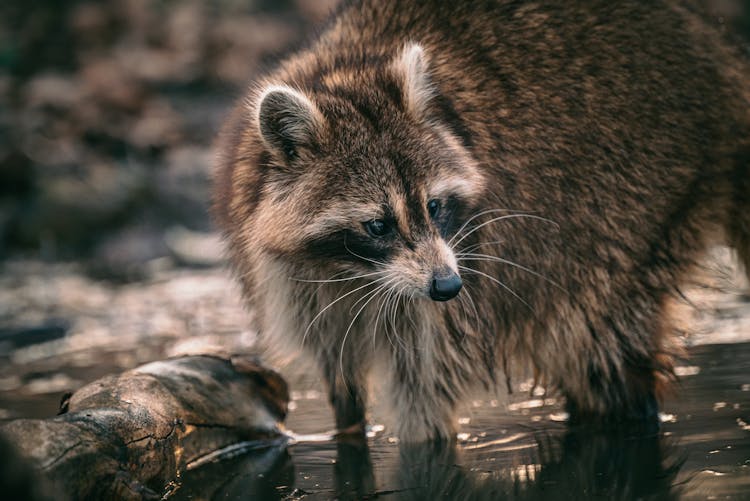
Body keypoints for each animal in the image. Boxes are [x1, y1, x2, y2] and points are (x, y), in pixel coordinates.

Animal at [212, 0, 750, 440]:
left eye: (434, 206)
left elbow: (425, 398)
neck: (354, 273)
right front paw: (347, 434)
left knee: (601, 344)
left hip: (640, 207)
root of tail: (719, 63)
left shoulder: (463, 291)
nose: (448, 286)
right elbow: (341, 383)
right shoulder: (299, 287)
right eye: (378, 225)